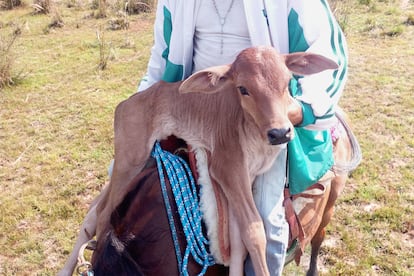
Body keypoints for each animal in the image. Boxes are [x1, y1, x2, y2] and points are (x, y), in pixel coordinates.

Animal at [59, 46, 338, 274]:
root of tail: (127, 103)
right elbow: (254, 232)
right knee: (103, 211)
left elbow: (238, 242)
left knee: (95, 208)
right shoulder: (227, 169)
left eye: (287, 82)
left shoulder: (244, 179)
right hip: (131, 157)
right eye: (243, 89)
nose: (280, 132)